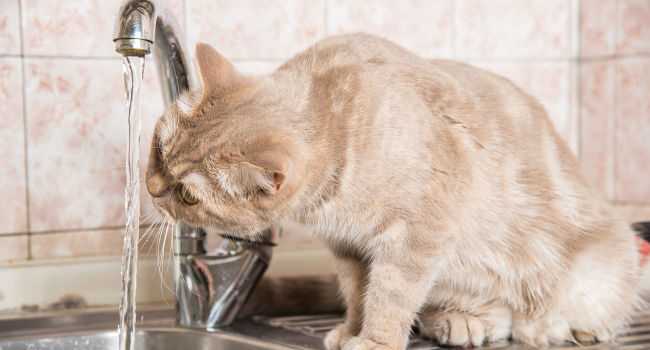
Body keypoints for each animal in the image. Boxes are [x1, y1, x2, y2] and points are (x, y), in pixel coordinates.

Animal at [146, 32, 636, 348]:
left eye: (188, 196)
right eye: (159, 149)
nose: (150, 188)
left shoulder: (415, 238)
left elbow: (390, 295)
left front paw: (376, 340)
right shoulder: (348, 246)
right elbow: (357, 293)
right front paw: (352, 330)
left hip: (597, 272)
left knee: (536, 317)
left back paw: (568, 327)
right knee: (499, 317)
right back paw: (460, 322)